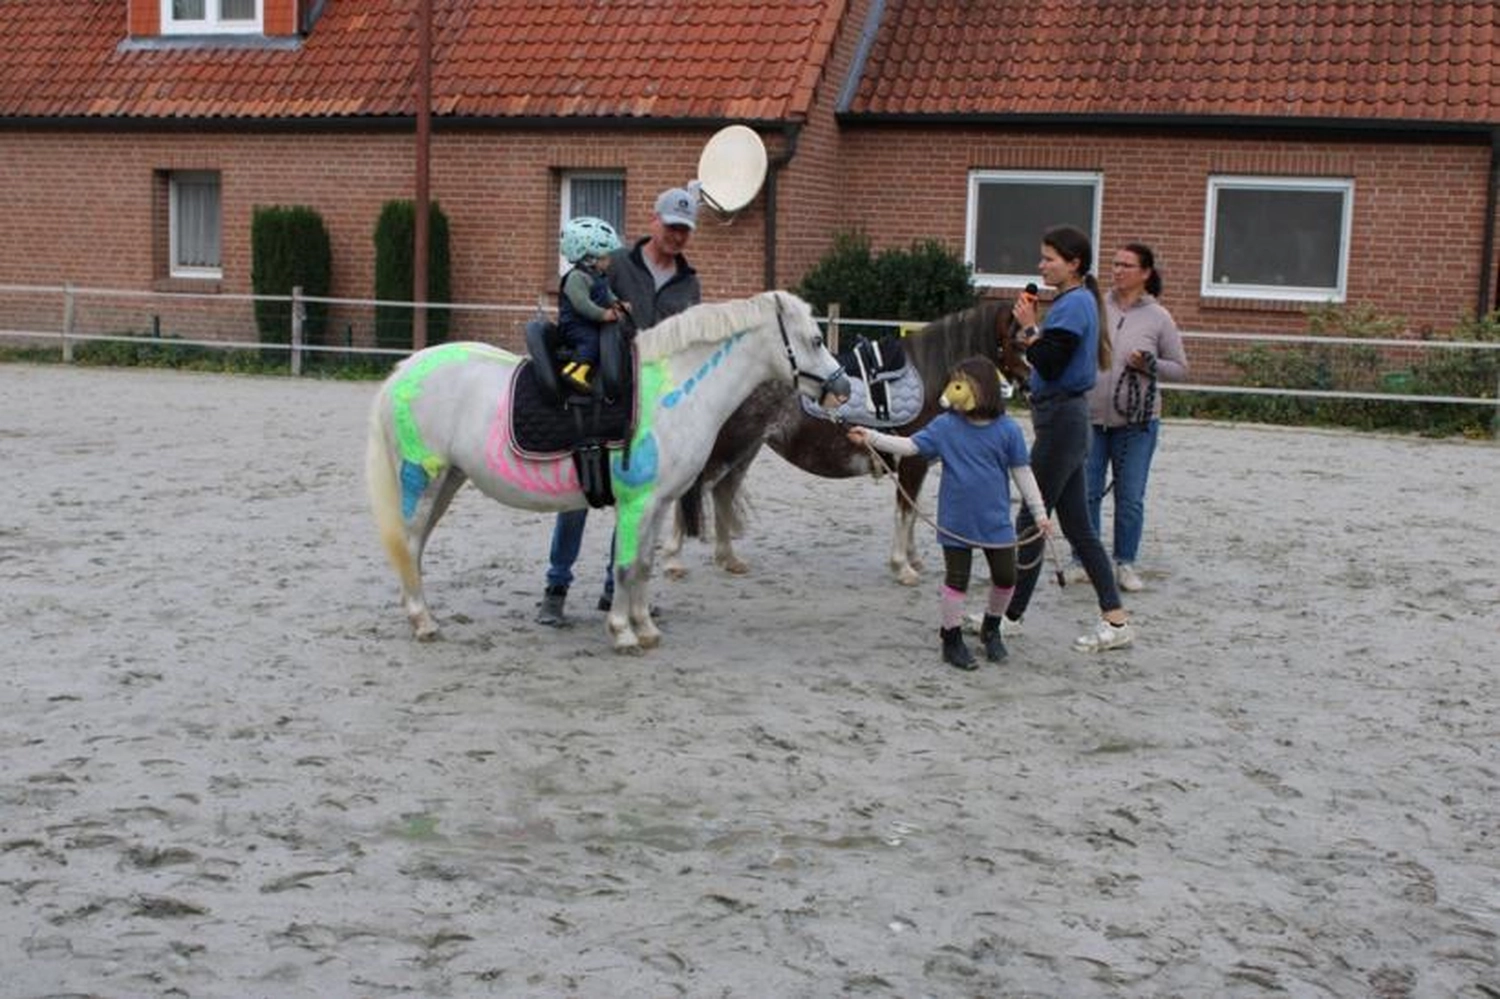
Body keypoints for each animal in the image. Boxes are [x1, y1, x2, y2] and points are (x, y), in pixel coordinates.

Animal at [365, 290, 851, 653]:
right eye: (814, 339)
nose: (842, 387)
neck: (671, 392)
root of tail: (405, 370)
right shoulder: (638, 503)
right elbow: (625, 565)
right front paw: (622, 632)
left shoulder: (658, 505)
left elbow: (644, 564)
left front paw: (645, 627)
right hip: (423, 478)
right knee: (410, 543)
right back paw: (423, 621)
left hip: (448, 479)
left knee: (414, 546)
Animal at [663, 297, 1028, 585]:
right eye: (1020, 340)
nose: (1029, 380)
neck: (930, 376)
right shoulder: (912, 462)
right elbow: (905, 512)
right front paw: (902, 567)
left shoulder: (918, 461)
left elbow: (912, 511)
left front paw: (912, 559)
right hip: (729, 448)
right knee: (694, 491)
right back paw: (673, 561)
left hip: (745, 450)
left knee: (723, 493)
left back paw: (729, 558)